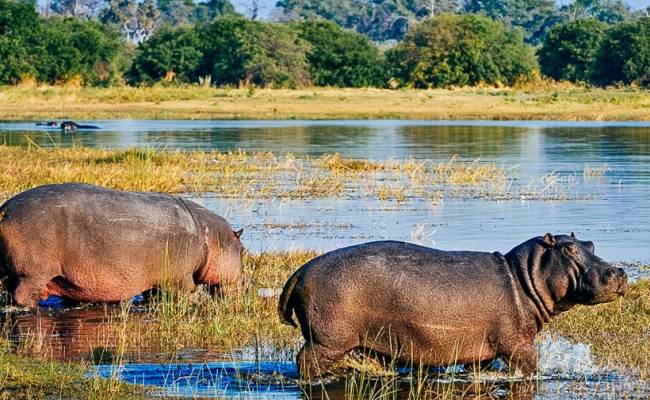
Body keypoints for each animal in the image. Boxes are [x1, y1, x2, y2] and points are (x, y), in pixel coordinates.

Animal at [0, 183, 243, 308]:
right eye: (243, 250)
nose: (244, 284)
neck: (209, 236)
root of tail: (5, 211)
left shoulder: (156, 281)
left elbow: (153, 296)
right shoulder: (178, 278)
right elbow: (185, 292)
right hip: (32, 273)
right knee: (22, 294)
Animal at [278, 234, 628, 378]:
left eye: (590, 243)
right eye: (568, 248)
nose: (618, 272)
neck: (523, 276)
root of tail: (300, 271)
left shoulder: (481, 352)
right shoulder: (519, 344)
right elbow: (529, 367)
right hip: (327, 340)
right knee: (306, 360)